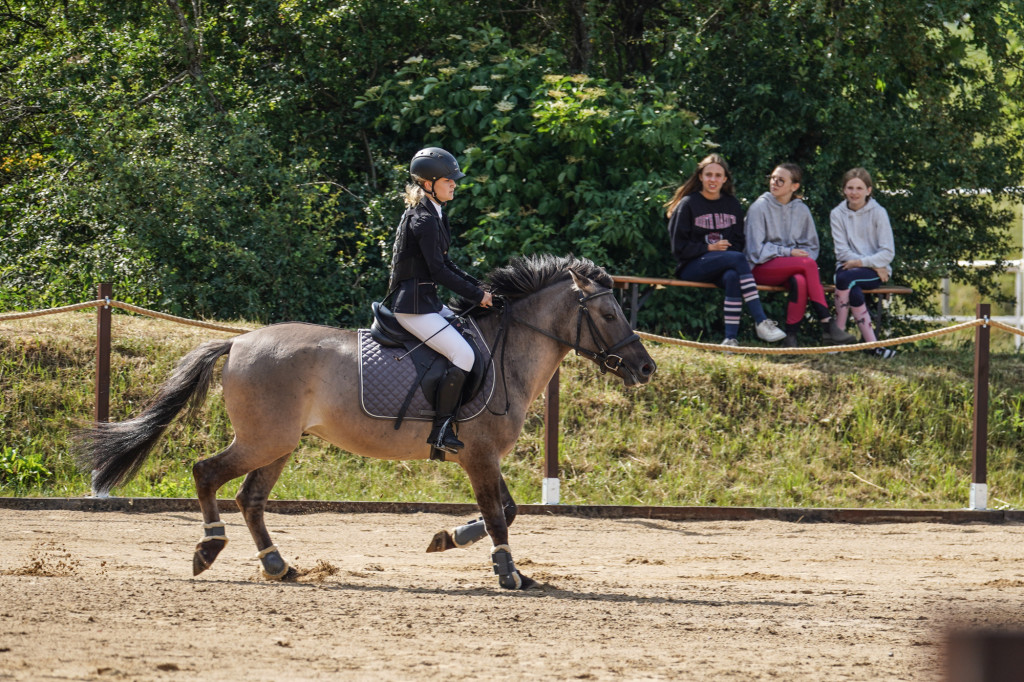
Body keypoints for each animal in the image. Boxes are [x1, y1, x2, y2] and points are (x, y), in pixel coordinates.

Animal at [77, 251, 655, 585]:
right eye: (608, 314)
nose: (645, 367)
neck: (504, 351)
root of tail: (239, 341)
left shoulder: (483, 456)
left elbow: (508, 511)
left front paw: (446, 539)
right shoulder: (480, 456)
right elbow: (497, 514)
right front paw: (508, 573)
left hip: (280, 443)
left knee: (250, 498)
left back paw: (278, 565)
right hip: (265, 439)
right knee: (207, 473)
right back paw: (209, 548)